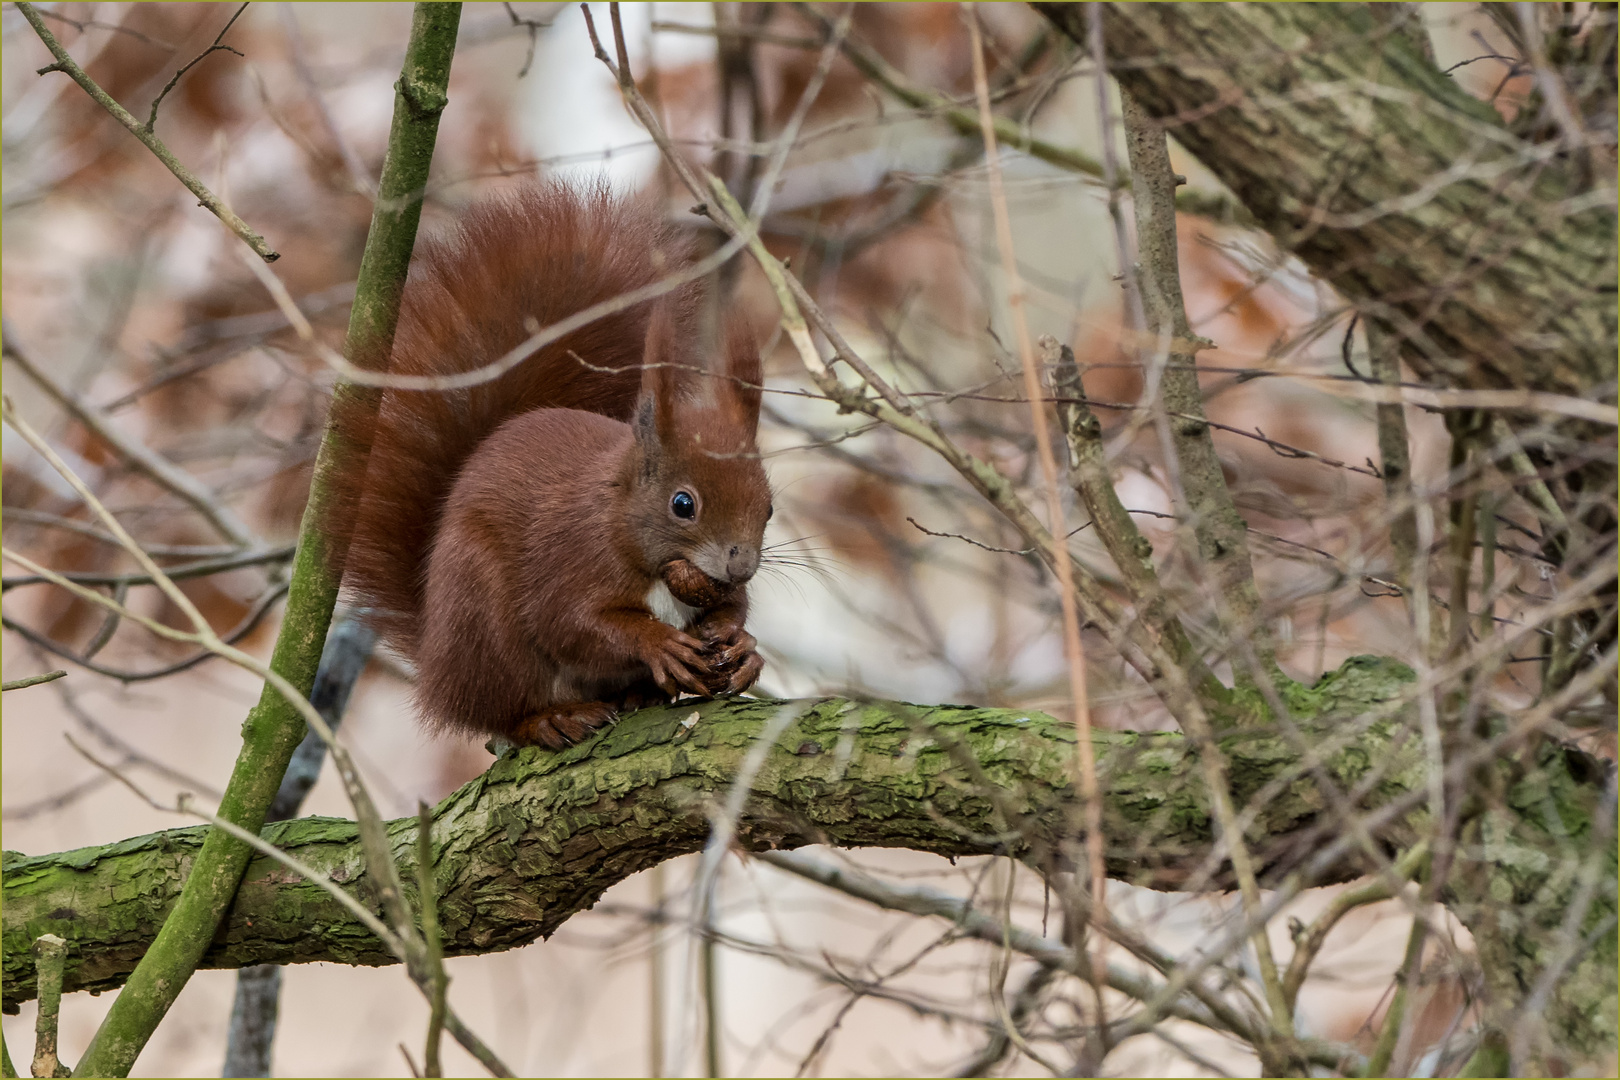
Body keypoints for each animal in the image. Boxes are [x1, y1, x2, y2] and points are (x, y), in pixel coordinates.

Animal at [325, 181, 767, 748]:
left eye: (769, 507)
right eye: (683, 504)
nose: (741, 565)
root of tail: (438, 664)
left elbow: (734, 608)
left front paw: (740, 643)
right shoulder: (569, 557)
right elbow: (572, 624)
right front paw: (659, 643)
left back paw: (639, 694)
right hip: (485, 621)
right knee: (502, 713)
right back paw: (552, 718)